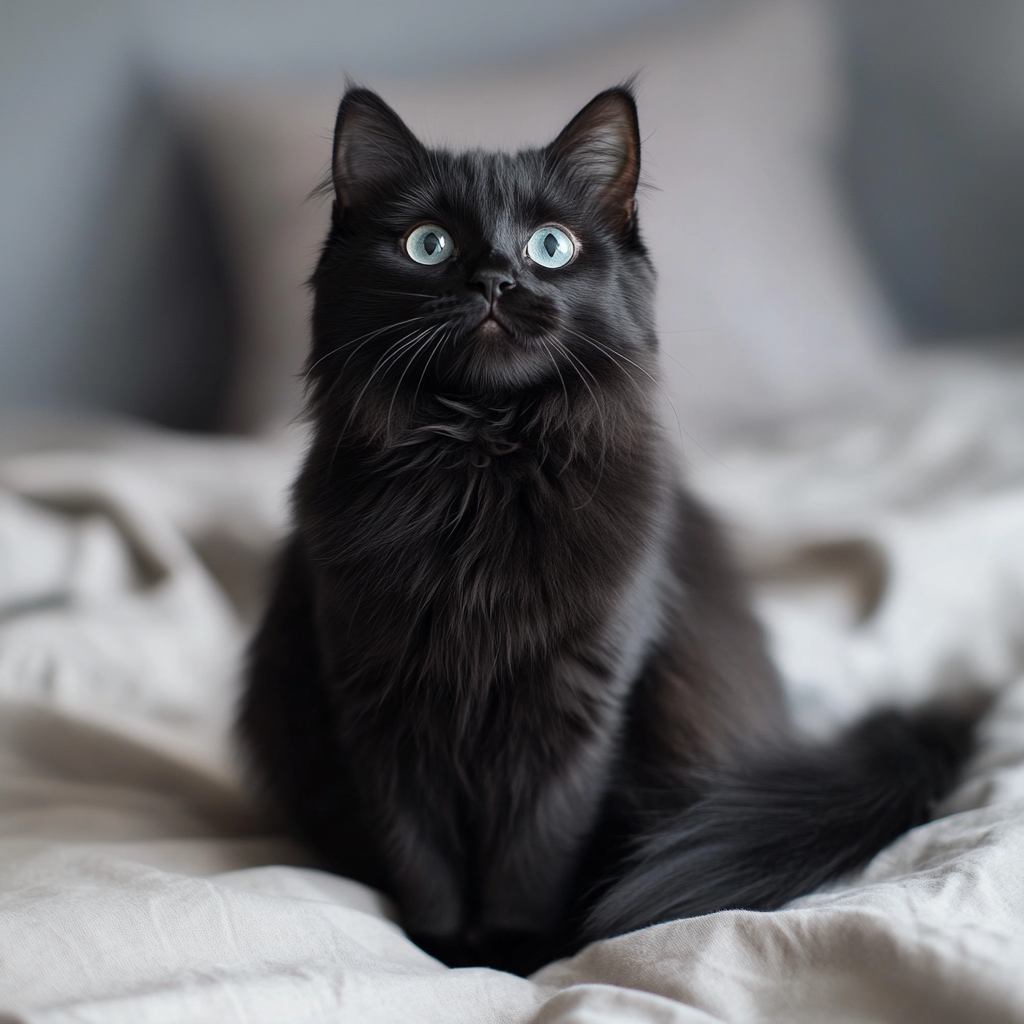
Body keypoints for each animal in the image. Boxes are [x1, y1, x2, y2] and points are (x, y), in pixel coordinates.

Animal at [237, 83, 974, 970]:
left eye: (550, 246)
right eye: (427, 245)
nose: (495, 279)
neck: (480, 467)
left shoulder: (576, 701)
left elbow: (533, 851)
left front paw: (515, 958)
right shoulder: (377, 698)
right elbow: (423, 856)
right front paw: (443, 952)